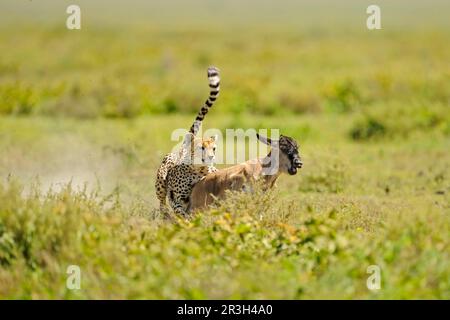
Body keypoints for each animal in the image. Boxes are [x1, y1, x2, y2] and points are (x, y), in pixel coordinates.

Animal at [156, 65, 221, 215]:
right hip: (161, 180)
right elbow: (180, 211)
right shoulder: (177, 199)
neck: (198, 170)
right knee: (161, 201)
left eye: (214, 148)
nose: (211, 157)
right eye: (201, 148)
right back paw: (164, 214)